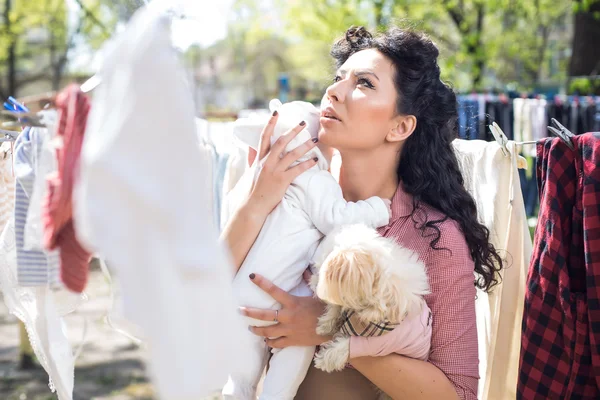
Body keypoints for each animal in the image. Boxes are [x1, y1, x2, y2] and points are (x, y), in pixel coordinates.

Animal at [310, 225, 432, 372]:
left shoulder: (378, 343)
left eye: (324, 275)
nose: (312, 283)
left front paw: (324, 359)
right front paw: (326, 325)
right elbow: (337, 307)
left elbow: (347, 345)